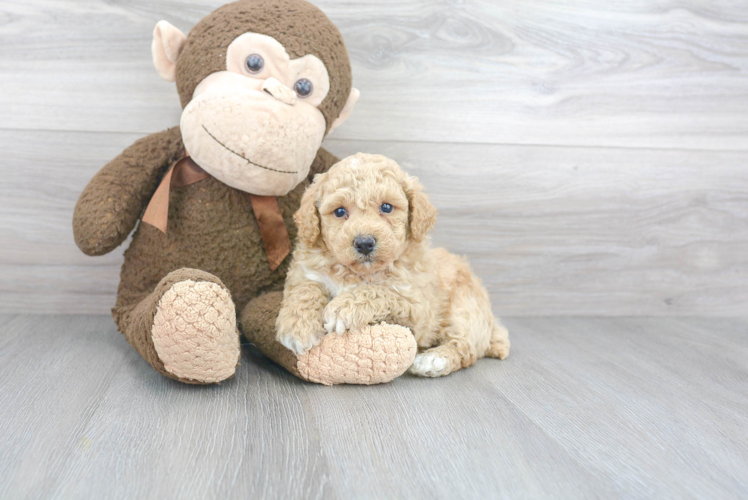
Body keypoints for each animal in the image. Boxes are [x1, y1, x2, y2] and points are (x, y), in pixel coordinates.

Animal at [278, 154, 512, 376]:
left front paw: (343, 307)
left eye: (386, 207)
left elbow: (381, 291)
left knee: (465, 347)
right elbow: (305, 290)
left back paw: (433, 360)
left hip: (463, 308)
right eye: (339, 211)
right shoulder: (305, 271)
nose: (364, 243)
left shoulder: (417, 306)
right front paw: (297, 327)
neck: (359, 273)